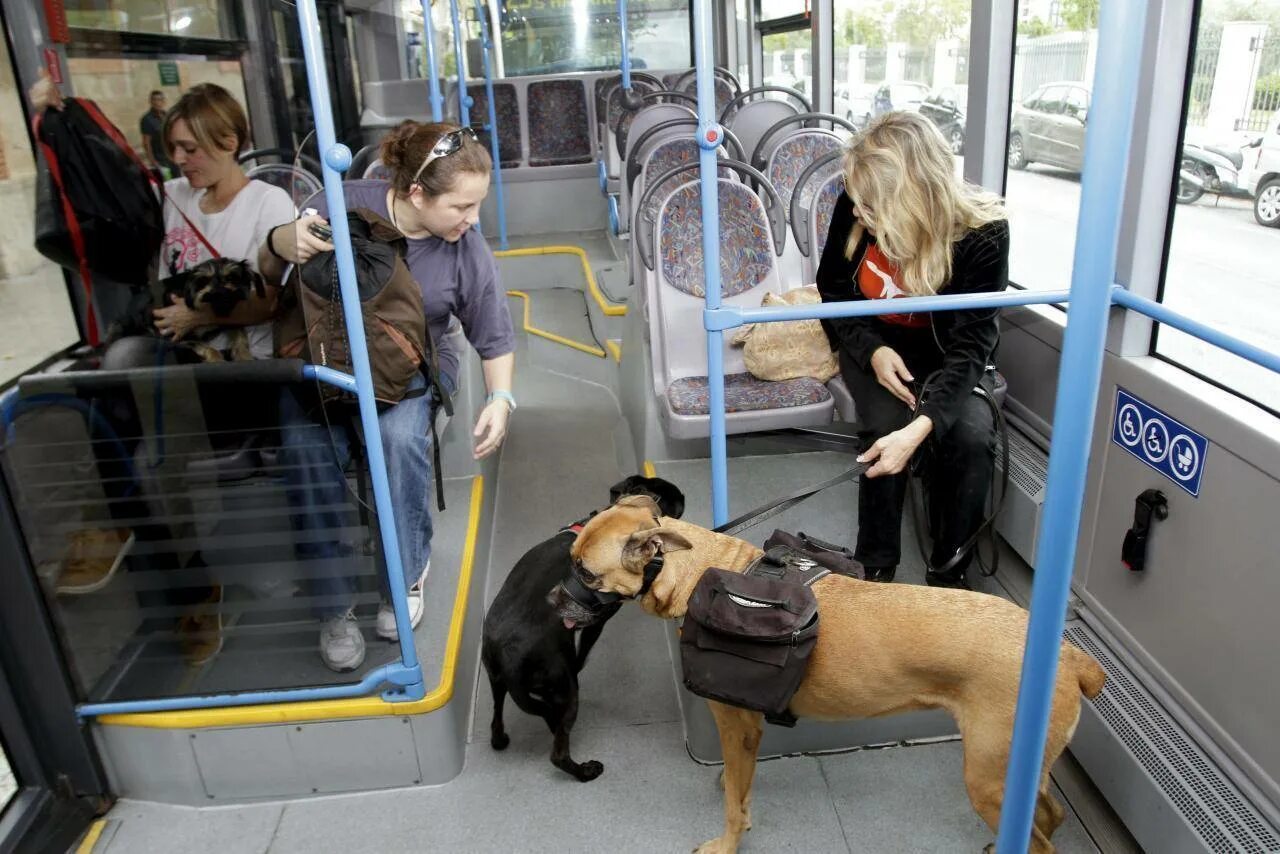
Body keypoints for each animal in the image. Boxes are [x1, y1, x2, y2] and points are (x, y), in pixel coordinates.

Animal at [481, 473, 686, 783]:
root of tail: (508, 658)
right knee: (558, 752)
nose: (684, 495)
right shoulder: (595, 621)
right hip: (565, 690)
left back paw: (500, 739)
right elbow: (583, 651)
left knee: (496, 719)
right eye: (671, 498)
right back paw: (585, 771)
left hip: (496, 681)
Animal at [552, 494, 1111, 854]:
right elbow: (739, 783)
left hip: (990, 777)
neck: (698, 570)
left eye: (585, 573)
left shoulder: (738, 725)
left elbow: (734, 805)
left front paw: (728, 840)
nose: (550, 599)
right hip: (1019, 774)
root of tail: (1068, 656)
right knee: (1051, 817)